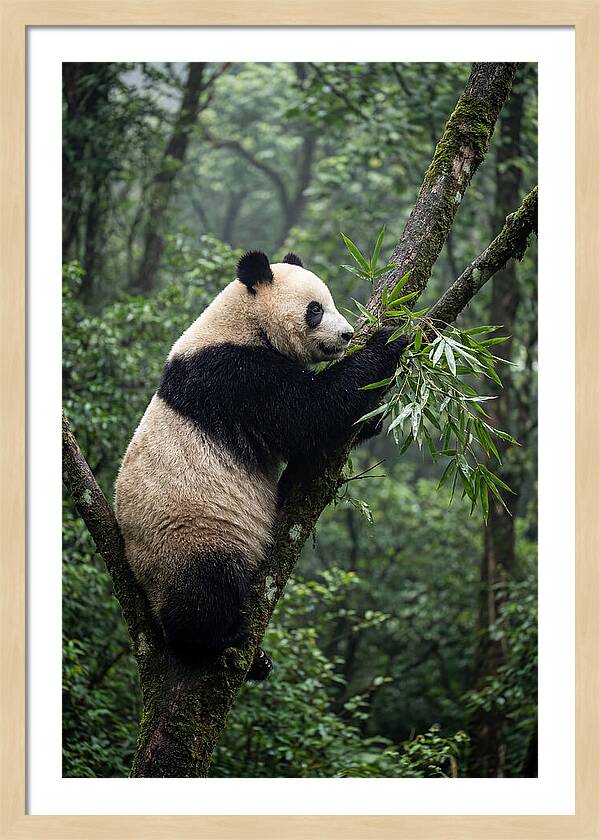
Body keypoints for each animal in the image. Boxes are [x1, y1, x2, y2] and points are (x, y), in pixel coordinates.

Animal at [115, 251, 407, 680]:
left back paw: (258, 661)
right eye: (315, 310)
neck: (243, 321)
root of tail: (140, 578)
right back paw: (219, 640)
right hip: (188, 533)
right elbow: (308, 414)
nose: (347, 335)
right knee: (205, 588)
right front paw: (390, 339)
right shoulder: (234, 375)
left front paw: (372, 417)